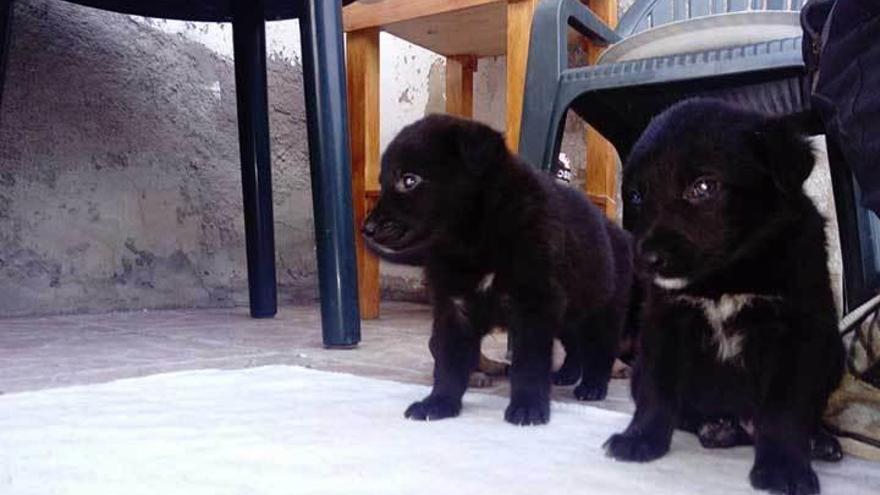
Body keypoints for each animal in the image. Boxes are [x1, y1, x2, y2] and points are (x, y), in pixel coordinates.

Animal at [362, 115, 632, 426]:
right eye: (382, 182)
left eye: (409, 180)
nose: (366, 229)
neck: (475, 242)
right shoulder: (455, 308)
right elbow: (449, 362)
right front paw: (439, 403)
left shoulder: (534, 304)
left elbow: (529, 364)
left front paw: (528, 407)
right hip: (570, 310)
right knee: (574, 344)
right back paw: (565, 375)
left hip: (603, 308)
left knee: (600, 350)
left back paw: (593, 386)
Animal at [604, 98, 844, 495]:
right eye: (636, 195)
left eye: (703, 186)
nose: (647, 259)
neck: (725, 277)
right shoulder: (666, 322)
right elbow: (657, 388)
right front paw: (641, 439)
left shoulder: (796, 330)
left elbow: (785, 407)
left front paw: (783, 468)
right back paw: (716, 428)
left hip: (831, 353)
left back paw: (820, 440)